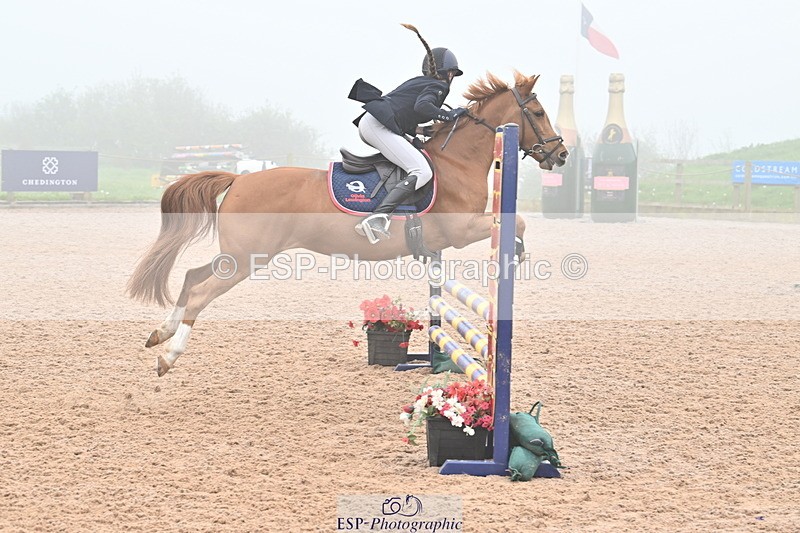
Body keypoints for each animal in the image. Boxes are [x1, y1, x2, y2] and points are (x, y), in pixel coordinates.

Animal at [127, 70, 568, 376]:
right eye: (539, 112)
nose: (560, 155)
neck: (457, 162)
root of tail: (240, 178)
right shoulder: (461, 231)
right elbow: (519, 220)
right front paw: (517, 254)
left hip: (237, 256)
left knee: (191, 277)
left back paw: (159, 334)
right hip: (247, 259)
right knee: (201, 293)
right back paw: (168, 357)